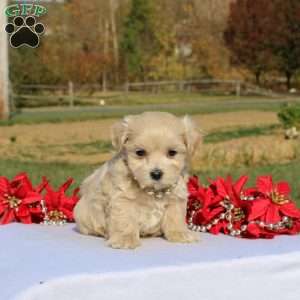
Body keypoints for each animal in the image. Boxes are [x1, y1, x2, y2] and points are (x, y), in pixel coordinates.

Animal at [74, 112, 202, 248]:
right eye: (140, 152)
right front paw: (125, 239)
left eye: (172, 152)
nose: (156, 174)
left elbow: (175, 217)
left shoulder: (176, 198)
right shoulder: (122, 199)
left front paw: (180, 234)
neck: (153, 190)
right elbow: (125, 220)